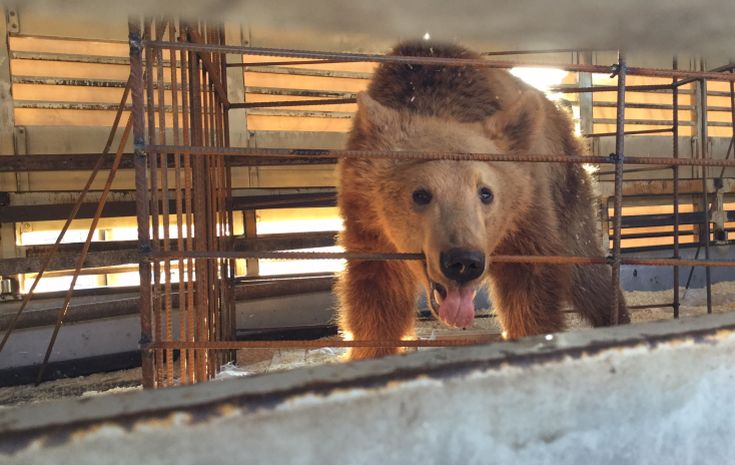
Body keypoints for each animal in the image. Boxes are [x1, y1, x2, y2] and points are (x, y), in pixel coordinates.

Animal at [336, 40, 628, 358]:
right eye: (421, 194)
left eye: (486, 192)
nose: (464, 261)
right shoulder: (369, 227)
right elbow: (376, 303)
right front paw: (369, 352)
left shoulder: (527, 217)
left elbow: (531, 295)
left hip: (568, 191)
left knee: (586, 270)